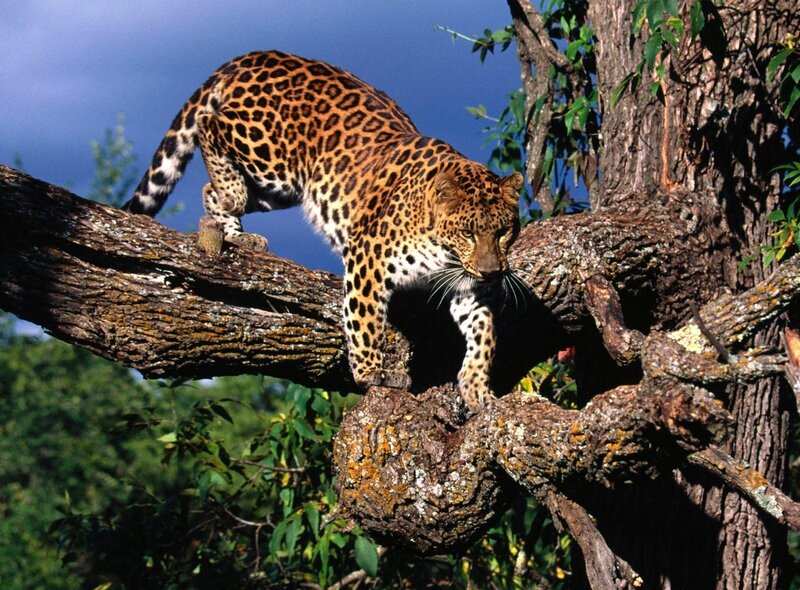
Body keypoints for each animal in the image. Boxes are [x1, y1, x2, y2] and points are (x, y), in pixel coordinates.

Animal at [123, 50, 524, 411]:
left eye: (504, 231)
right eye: (468, 233)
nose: (493, 272)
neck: (443, 249)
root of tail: (256, 55)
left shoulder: (470, 288)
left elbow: (484, 335)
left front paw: (477, 389)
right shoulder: (368, 255)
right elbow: (365, 319)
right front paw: (372, 373)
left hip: (280, 189)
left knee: (211, 192)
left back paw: (238, 233)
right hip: (268, 152)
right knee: (210, 125)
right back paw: (232, 192)